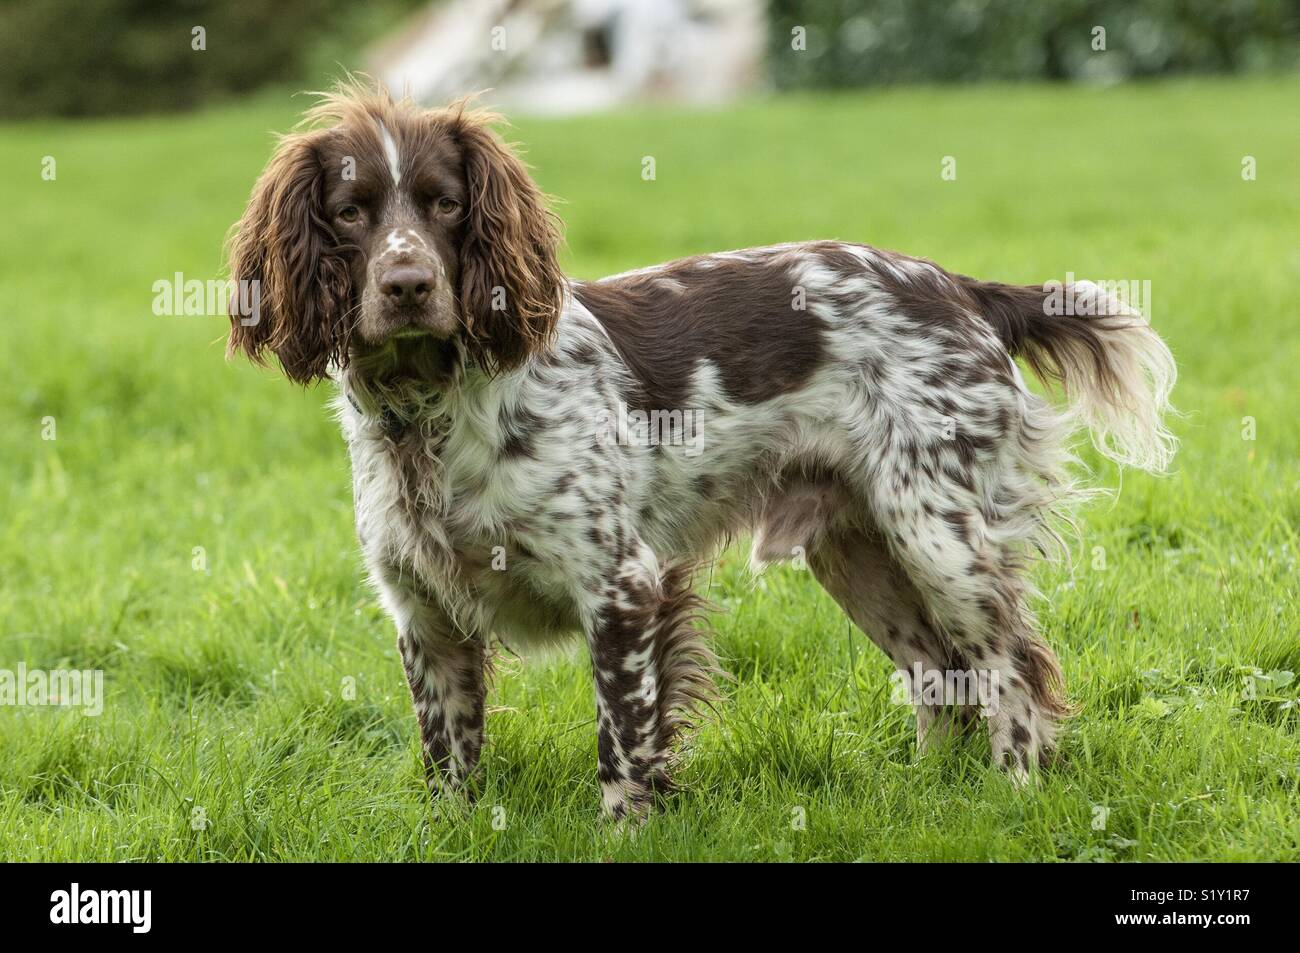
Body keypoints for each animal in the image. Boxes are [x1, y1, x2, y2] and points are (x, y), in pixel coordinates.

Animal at [226, 85, 1180, 816]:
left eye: (445, 203)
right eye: (350, 212)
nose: (408, 285)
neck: (433, 410)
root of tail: (964, 288)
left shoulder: (622, 586)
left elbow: (623, 743)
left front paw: (625, 828)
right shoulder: (424, 618)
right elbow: (447, 760)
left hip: (939, 539)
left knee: (1010, 668)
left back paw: (1014, 794)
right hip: (859, 552)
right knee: (938, 672)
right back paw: (926, 793)